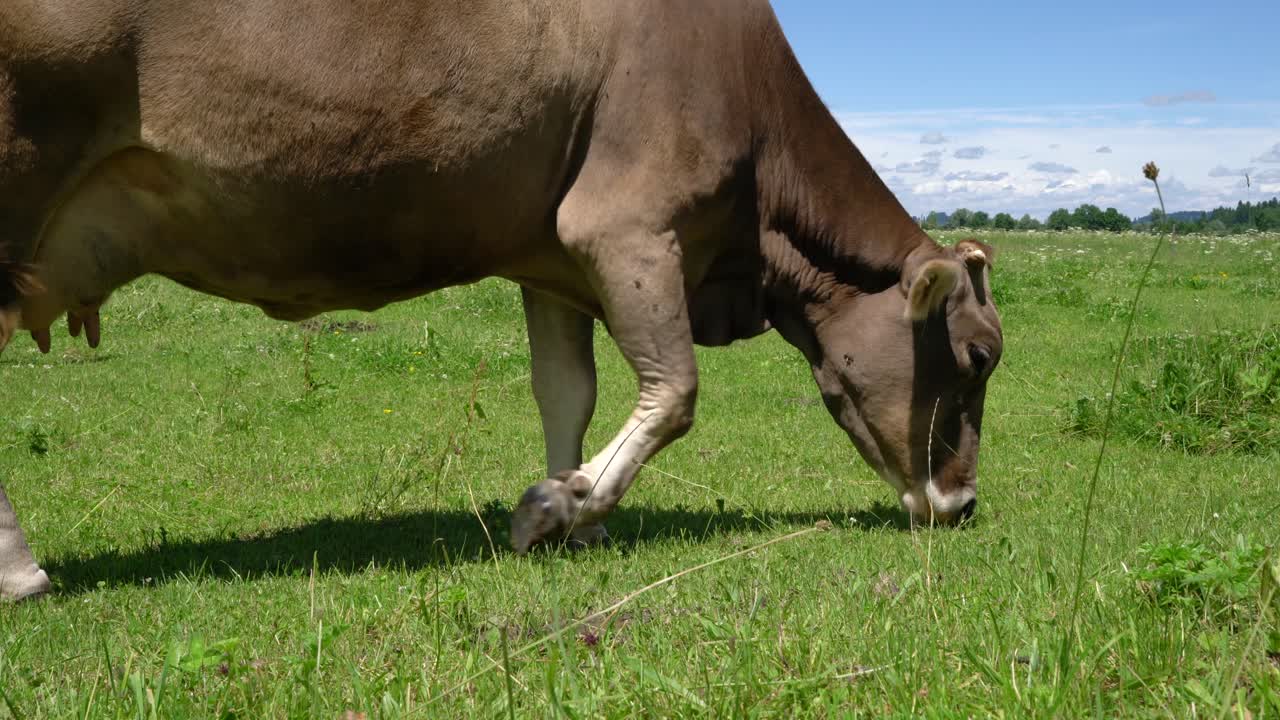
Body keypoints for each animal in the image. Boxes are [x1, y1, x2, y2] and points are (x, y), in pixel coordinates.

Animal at [0, 0, 1002, 600]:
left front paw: (578, 506)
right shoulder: (626, 225)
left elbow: (569, 392)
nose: (961, 506)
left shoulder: (552, 256)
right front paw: (557, 509)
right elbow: (674, 391)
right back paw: (20, 570)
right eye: (978, 355)